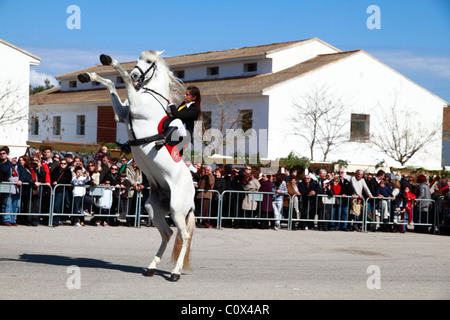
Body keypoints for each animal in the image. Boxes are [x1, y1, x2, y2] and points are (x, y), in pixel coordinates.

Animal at [77, 49, 195, 280]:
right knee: (167, 234)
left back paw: (175, 272)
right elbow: (112, 86)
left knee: (184, 237)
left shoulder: (136, 107)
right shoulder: (122, 115)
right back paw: (151, 267)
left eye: (149, 61)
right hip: (153, 208)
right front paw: (91, 75)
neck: (151, 96)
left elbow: (121, 77)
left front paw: (110, 62)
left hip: (177, 209)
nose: (136, 75)